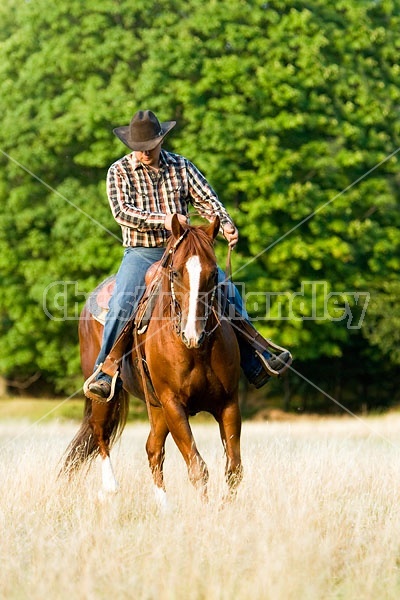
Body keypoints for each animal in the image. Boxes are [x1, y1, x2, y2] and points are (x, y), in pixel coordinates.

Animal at [62, 218, 242, 504]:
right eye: (175, 273)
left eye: (214, 273)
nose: (193, 333)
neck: (195, 350)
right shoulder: (173, 405)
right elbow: (197, 467)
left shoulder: (228, 403)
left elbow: (234, 469)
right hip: (105, 394)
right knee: (100, 431)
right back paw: (111, 486)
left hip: (156, 408)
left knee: (153, 449)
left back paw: (164, 506)